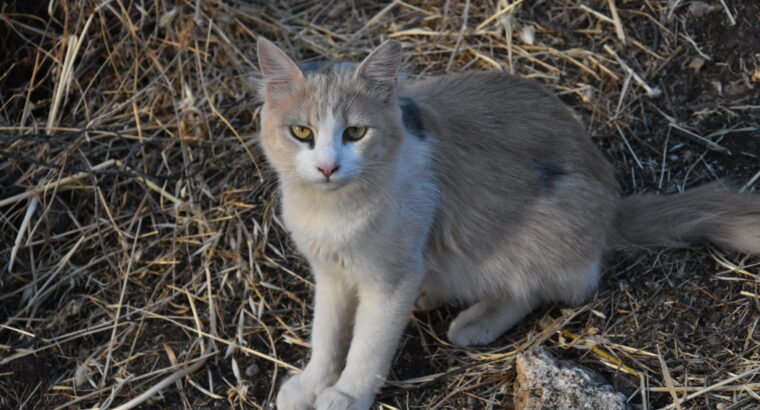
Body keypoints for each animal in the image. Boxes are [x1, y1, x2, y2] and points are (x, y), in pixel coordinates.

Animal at [255, 38, 760, 410]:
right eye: (302, 132)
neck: (334, 212)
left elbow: (367, 347)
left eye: (355, 133)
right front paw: (313, 383)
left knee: (543, 289)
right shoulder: (332, 274)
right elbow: (326, 335)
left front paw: (345, 394)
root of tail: (612, 202)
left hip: (537, 232)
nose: (327, 167)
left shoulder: (390, 279)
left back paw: (471, 322)